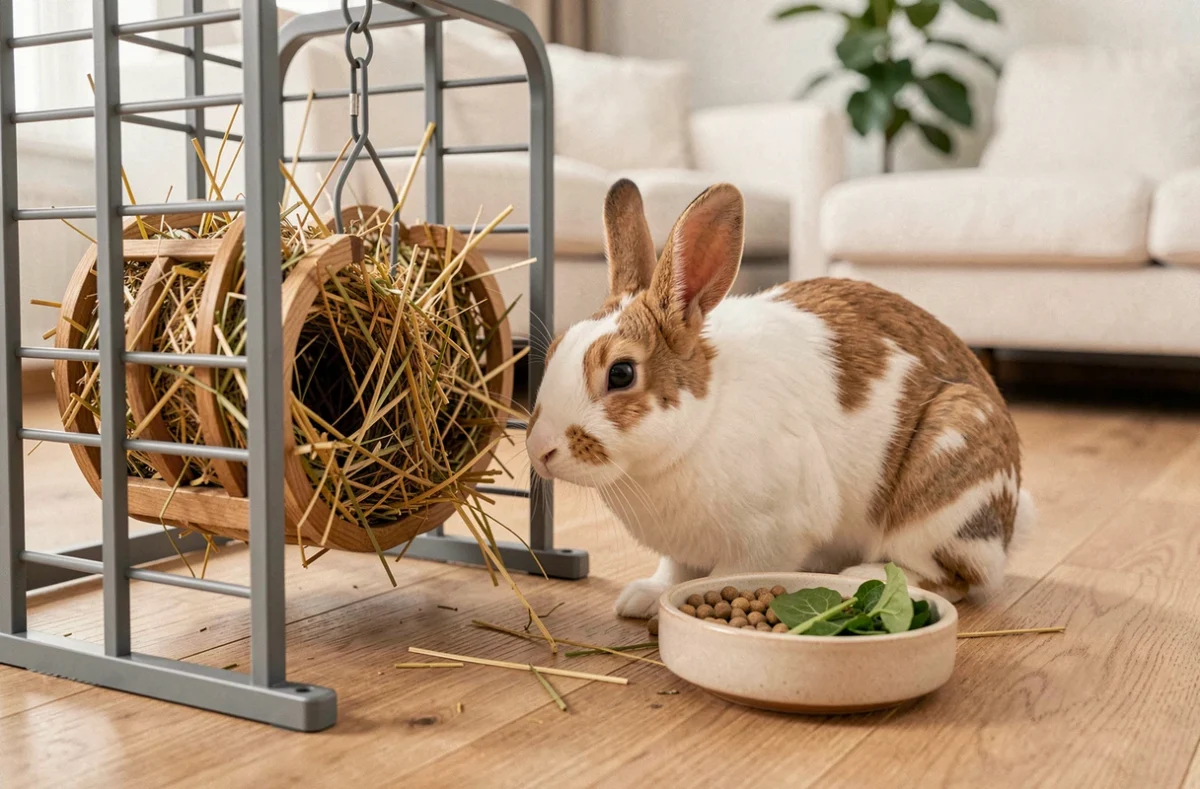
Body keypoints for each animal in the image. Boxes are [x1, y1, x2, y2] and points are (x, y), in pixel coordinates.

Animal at [525, 179, 1034, 619]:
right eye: (554, 351)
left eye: (621, 373)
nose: (539, 449)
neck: (699, 425)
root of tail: (1009, 527)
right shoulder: (680, 550)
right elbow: (673, 572)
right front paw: (642, 598)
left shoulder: (772, 537)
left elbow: (727, 574)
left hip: (941, 495)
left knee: (952, 577)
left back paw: (862, 574)